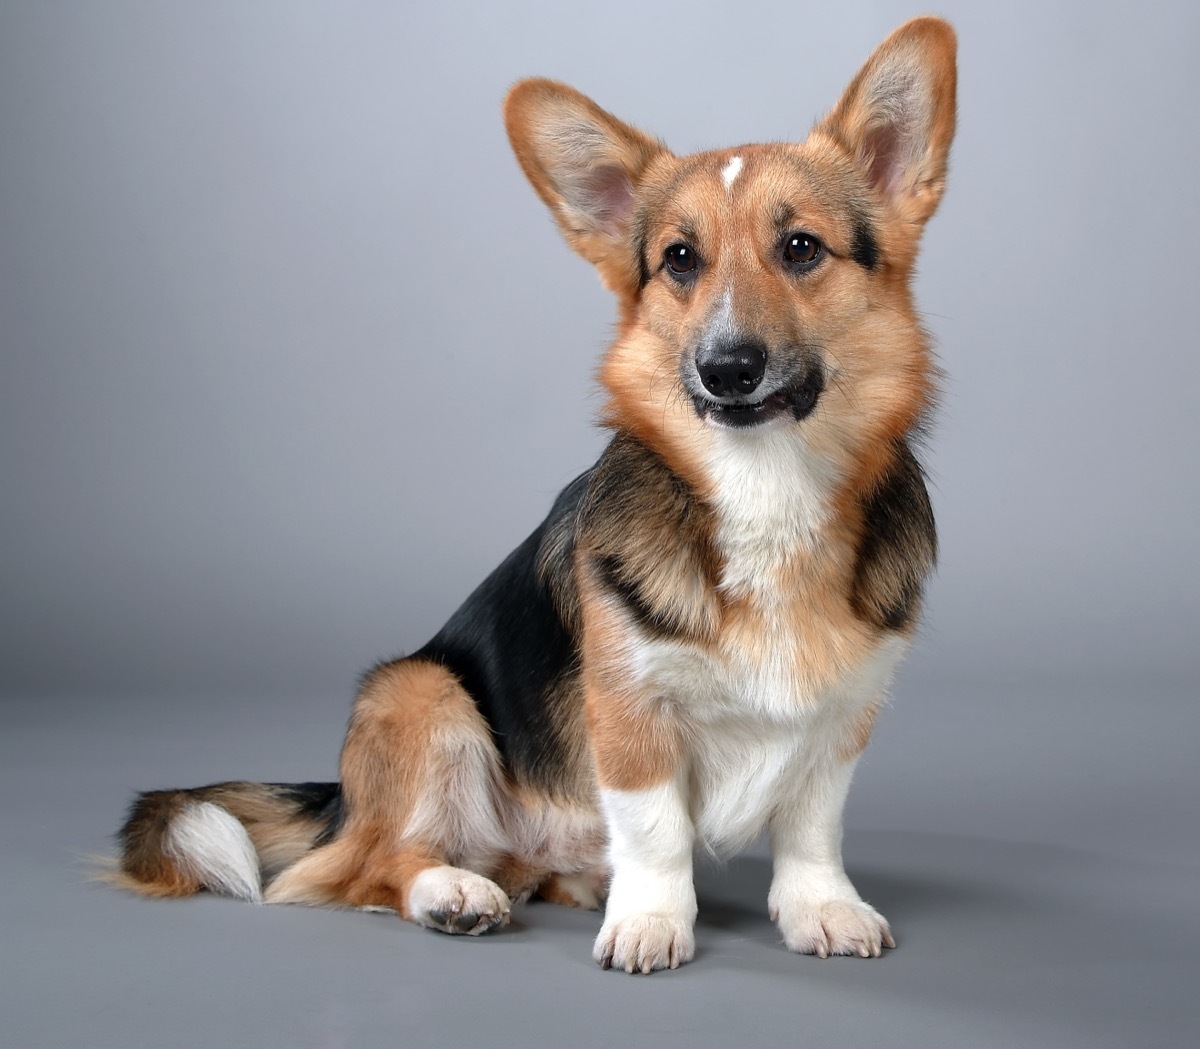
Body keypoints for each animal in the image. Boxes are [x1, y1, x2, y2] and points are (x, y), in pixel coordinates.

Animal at [110, 16, 955, 969]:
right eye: (679, 260)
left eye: (802, 247)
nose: (727, 367)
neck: (763, 483)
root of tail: (341, 799)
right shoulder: (627, 713)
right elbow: (656, 828)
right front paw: (652, 921)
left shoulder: (841, 719)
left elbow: (812, 827)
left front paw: (822, 907)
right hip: (422, 693)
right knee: (360, 869)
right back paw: (452, 893)